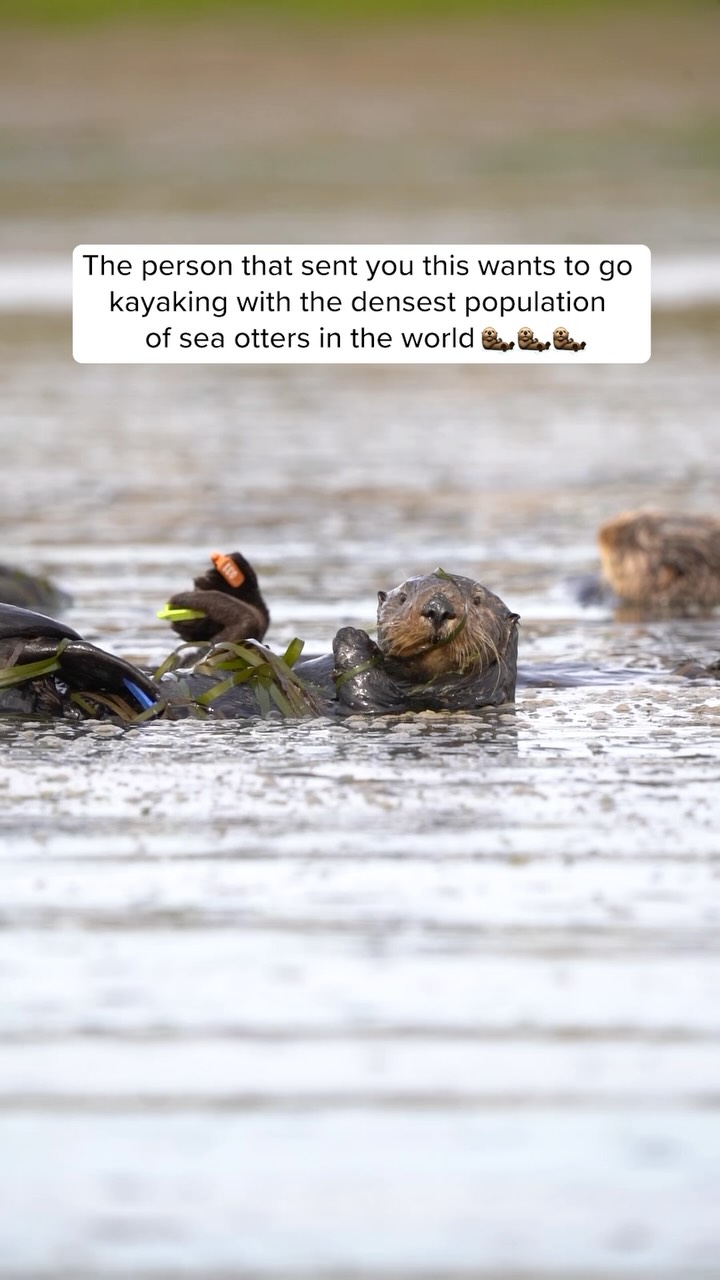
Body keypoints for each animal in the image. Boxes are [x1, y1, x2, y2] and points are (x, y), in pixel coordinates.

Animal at [0, 567, 519, 722]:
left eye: (476, 600)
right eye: (405, 596)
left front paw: (350, 634)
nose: (439, 607)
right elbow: (215, 649)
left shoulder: (419, 701)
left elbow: (365, 693)